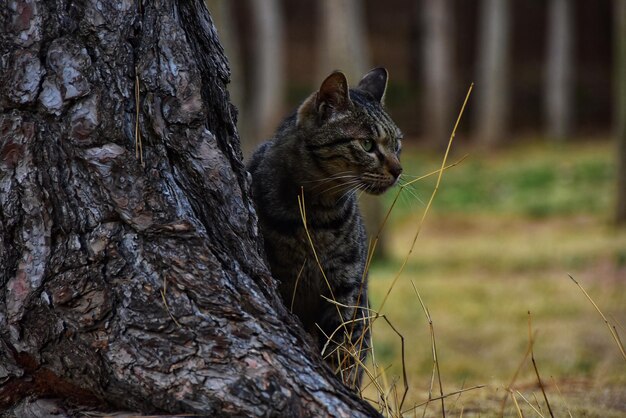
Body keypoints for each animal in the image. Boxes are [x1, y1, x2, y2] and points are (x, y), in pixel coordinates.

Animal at [246, 67, 402, 390]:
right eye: (367, 145)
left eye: (397, 145)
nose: (398, 170)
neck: (318, 214)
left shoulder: (346, 289)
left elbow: (342, 352)